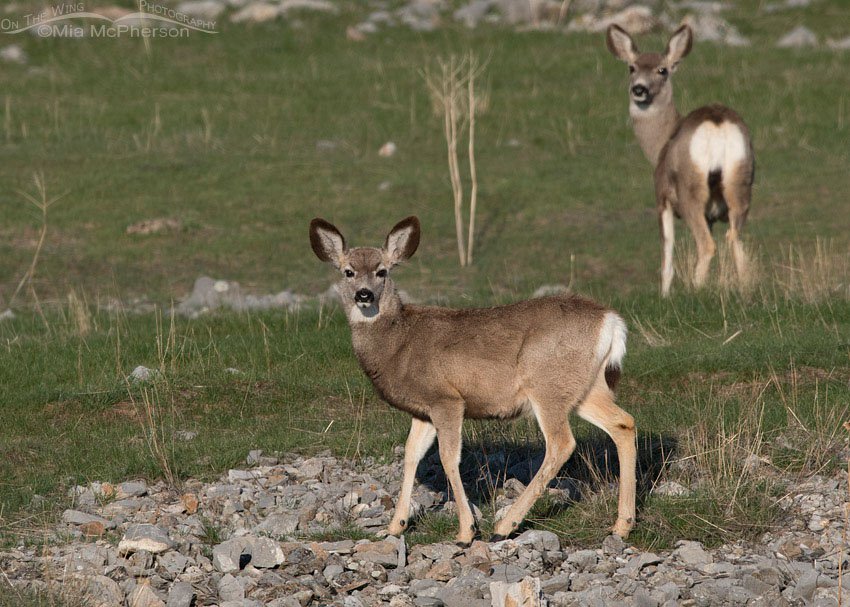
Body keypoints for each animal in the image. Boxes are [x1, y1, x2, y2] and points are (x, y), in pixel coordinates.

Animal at [309, 216, 636, 545]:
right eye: (348, 271)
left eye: (382, 271)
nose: (364, 294)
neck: (399, 344)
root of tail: (611, 321)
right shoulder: (423, 409)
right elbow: (411, 455)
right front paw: (394, 526)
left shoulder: (447, 398)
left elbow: (448, 458)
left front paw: (466, 530)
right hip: (585, 387)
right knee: (623, 423)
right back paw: (622, 525)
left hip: (546, 383)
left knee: (561, 443)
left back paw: (505, 526)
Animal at [606, 24, 755, 297]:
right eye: (632, 67)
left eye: (662, 70)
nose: (639, 89)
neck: (661, 144)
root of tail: (717, 122)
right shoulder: (711, 215)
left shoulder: (662, 198)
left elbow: (666, 259)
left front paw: (665, 296)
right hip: (740, 182)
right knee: (735, 239)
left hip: (690, 191)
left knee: (707, 245)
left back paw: (695, 291)